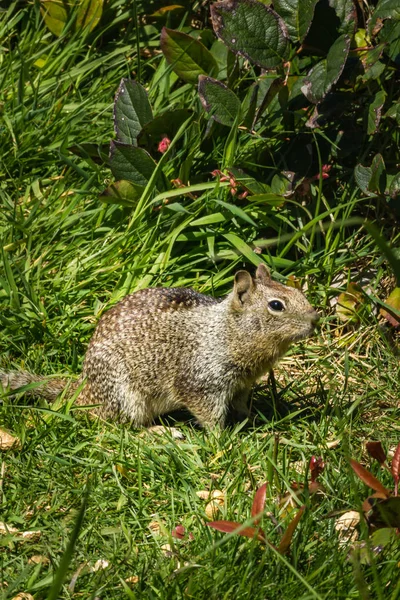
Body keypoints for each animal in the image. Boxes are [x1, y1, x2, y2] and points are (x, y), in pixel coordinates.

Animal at [0, 264, 318, 428]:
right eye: (276, 305)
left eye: (298, 292)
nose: (315, 319)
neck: (225, 333)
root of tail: (83, 390)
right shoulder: (201, 384)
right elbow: (210, 416)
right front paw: (223, 441)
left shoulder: (241, 385)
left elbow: (241, 406)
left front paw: (253, 422)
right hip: (126, 398)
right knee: (119, 428)